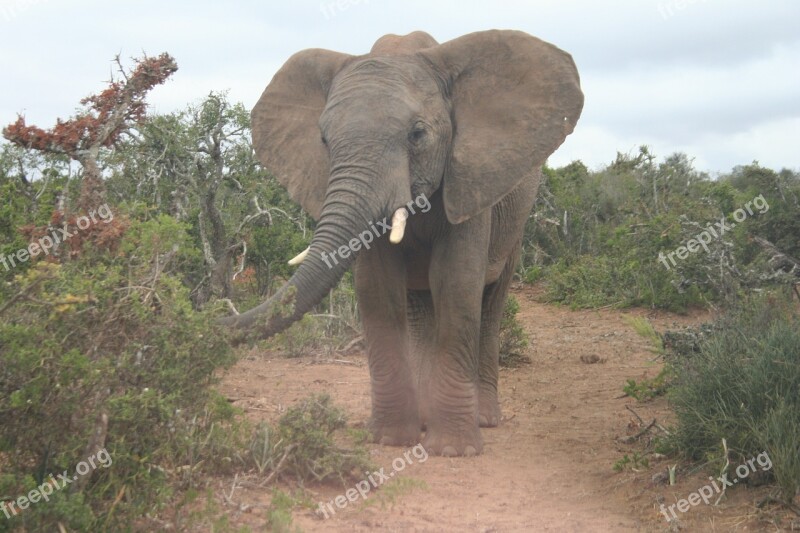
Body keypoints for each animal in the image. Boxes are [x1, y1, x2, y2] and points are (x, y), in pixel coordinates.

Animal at [219, 29, 580, 456]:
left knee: (491, 302)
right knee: (421, 308)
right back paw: (425, 418)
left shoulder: (468, 181)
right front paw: (391, 440)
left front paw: (454, 450)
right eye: (323, 139)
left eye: (417, 134)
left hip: (516, 220)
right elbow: (377, 289)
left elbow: (457, 284)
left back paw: (485, 419)